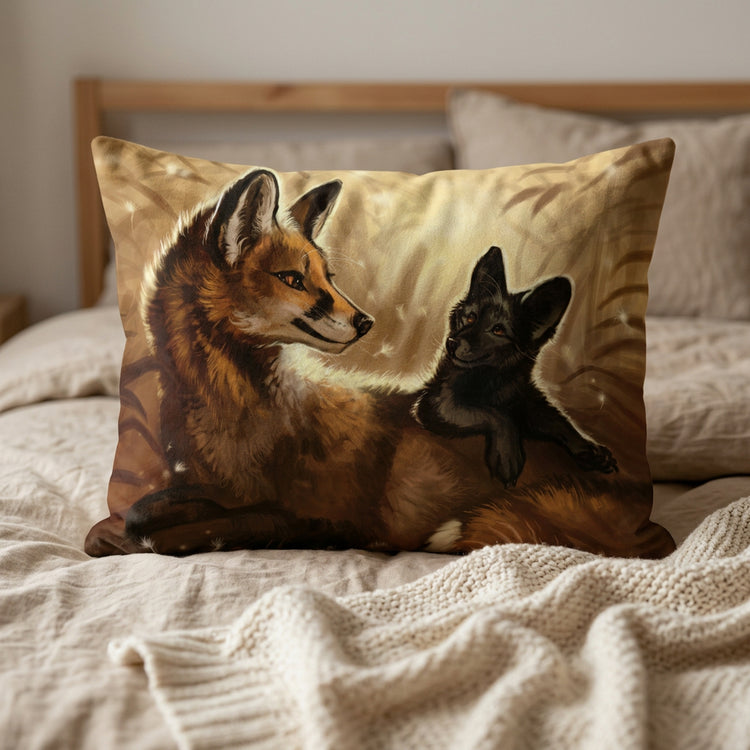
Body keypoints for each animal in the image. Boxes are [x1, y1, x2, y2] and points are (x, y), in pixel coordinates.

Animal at [415, 246, 617, 488]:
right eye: (471, 318)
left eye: (498, 330)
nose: (451, 343)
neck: (494, 383)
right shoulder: (435, 404)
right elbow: (495, 415)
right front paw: (507, 455)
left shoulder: (529, 403)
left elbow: (559, 419)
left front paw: (589, 447)